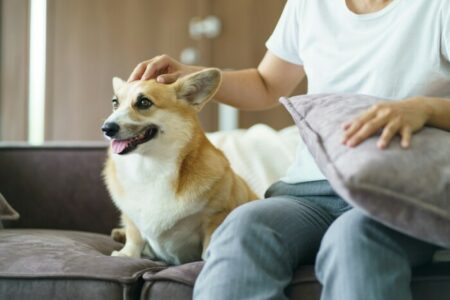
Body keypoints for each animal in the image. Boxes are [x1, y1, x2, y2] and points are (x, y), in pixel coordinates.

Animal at [101, 68, 256, 264]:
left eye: (144, 102)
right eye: (115, 102)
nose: (106, 128)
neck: (151, 166)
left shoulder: (215, 216)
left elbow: (209, 242)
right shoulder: (130, 215)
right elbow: (134, 235)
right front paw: (127, 254)